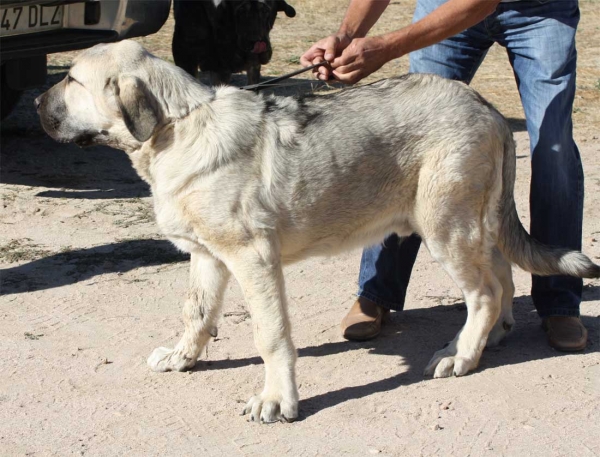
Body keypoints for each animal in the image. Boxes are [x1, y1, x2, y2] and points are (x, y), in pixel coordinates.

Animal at [36, 41, 596, 422]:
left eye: (71, 80)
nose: (38, 104)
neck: (178, 127)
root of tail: (485, 106)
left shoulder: (253, 260)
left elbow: (271, 335)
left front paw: (276, 399)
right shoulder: (209, 256)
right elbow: (196, 312)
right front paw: (182, 356)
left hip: (446, 226)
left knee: (483, 291)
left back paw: (460, 354)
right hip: (472, 223)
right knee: (501, 275)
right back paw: (490, 338)